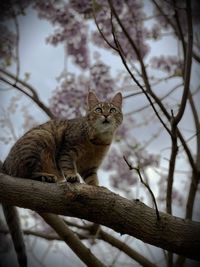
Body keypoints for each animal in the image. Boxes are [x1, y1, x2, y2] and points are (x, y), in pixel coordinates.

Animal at [1, 92, 122, 267]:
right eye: (98, 109)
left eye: (112, 109)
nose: (106, 115)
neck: (99, 141)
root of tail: (5, 163)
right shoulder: (67, 151)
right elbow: (68, 166)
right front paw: (71, 176)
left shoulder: (90, 168)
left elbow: (93, 181)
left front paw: (98, 189)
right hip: (40, 140)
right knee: (25, 174)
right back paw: (45, 176)